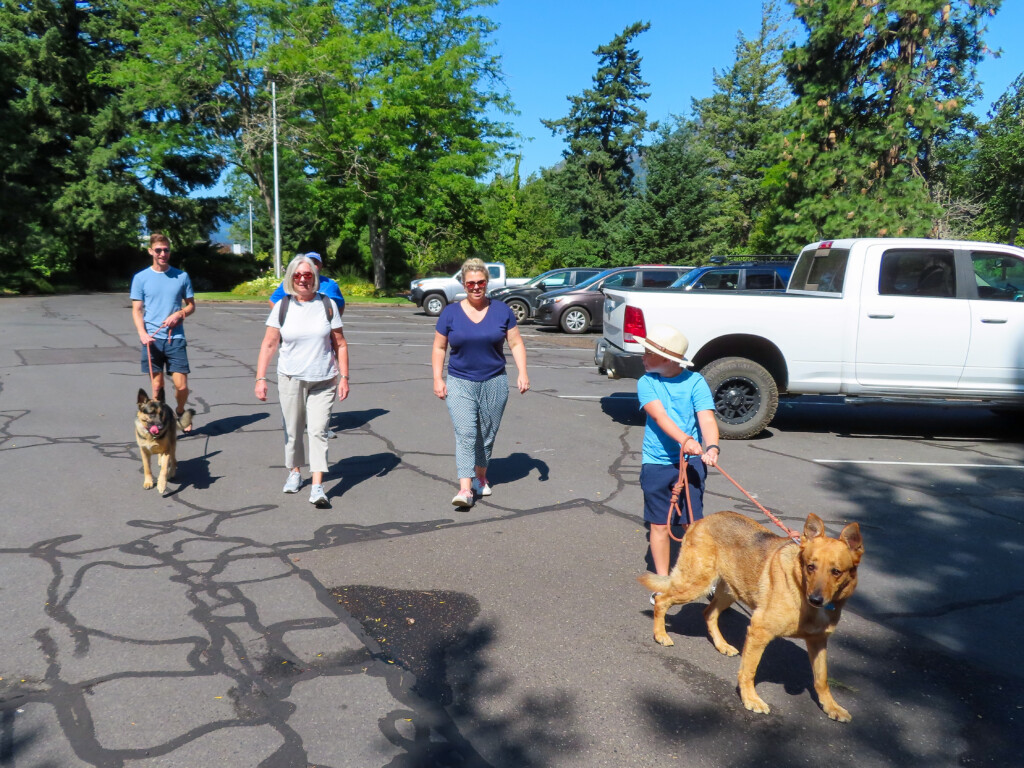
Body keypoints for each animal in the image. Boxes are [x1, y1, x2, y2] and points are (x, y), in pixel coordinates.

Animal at [638, 512, 864, 720]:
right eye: (811, 567)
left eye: (836, 572)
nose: (816, 599)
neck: (800, 586)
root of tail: (701, 520)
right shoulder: (759, 631)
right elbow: (749, 671)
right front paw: (750, 698)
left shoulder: (818, 642)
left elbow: (822, 679)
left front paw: (831, 706)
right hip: (696, 585)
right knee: (662, 600)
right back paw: (660, 635)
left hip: (730, 592)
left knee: (708, 613)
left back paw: (722, 645)